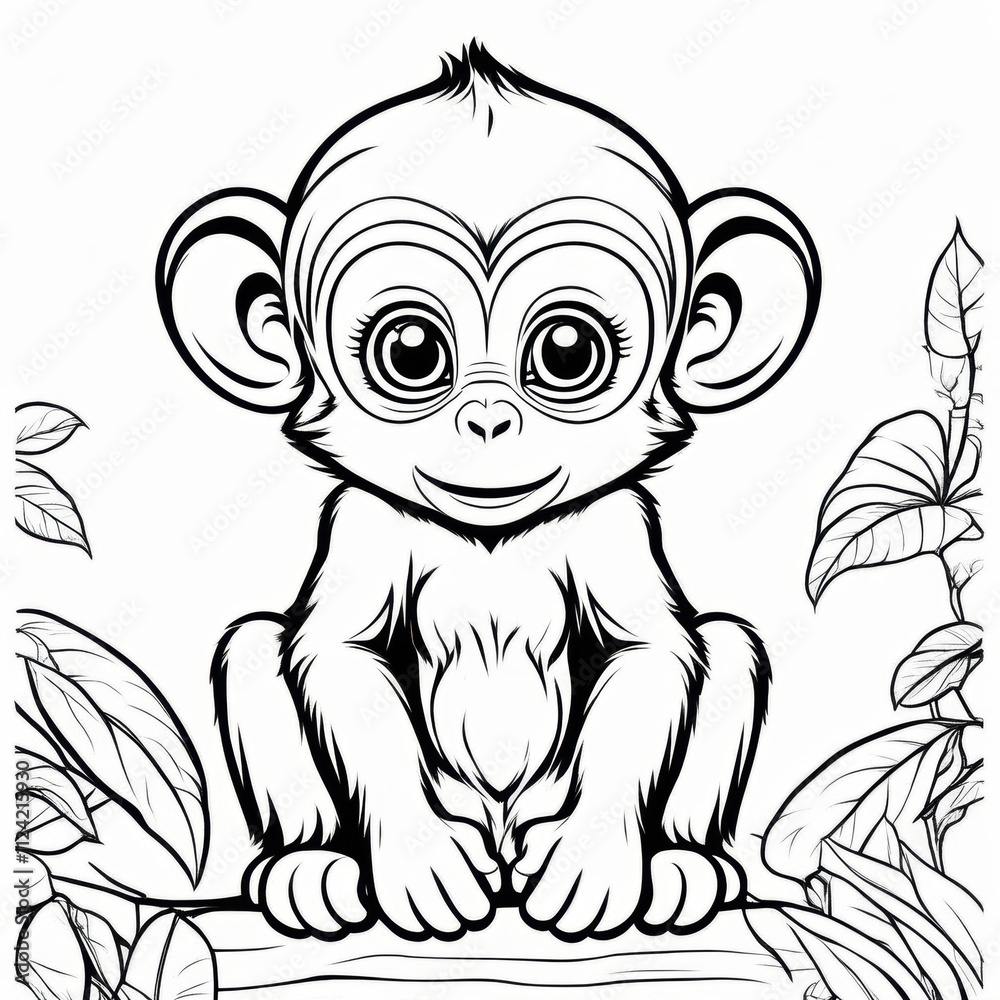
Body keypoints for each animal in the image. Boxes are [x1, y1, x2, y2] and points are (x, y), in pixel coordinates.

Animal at [156, 41, 819, 942]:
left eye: (568, 351)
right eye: (411, 351)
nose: (488, 420)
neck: (491, 537)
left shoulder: (617, 521)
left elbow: (651, 653)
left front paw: (595, 857)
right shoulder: (361, 521)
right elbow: (339, 655)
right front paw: (415, 857)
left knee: (731, 648)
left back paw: (683, 865)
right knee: (257, 646)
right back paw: (310, 867)